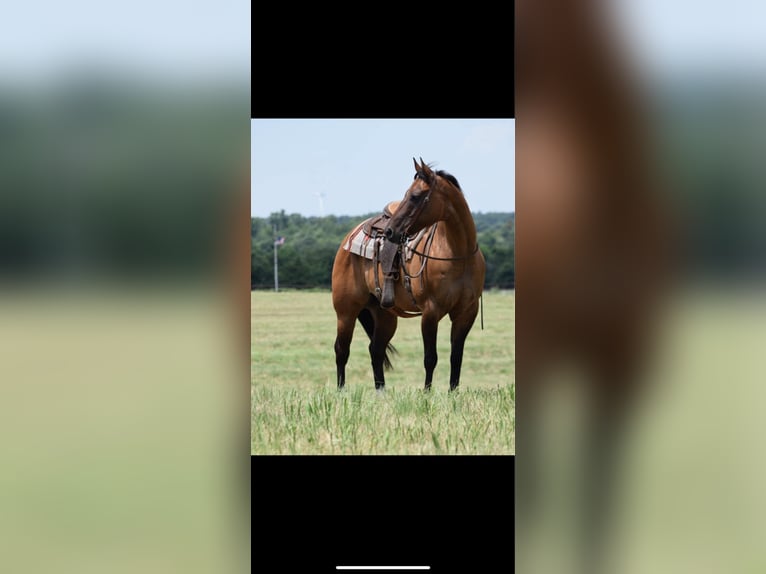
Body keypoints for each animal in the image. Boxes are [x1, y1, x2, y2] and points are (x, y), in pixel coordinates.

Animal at [331, 158, 486, 392]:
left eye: (415, 196)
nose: (389, 232)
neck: (458, 254)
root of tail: (347, 240)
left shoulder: (466, 312)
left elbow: (456, 357)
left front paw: (453, 393)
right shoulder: (430, 311)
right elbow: (430, 358)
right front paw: (427, 393)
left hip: (384, 316)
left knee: (376, 350)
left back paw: (381, 391)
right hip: (346, 311)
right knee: (342, 350)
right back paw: (341, 392)